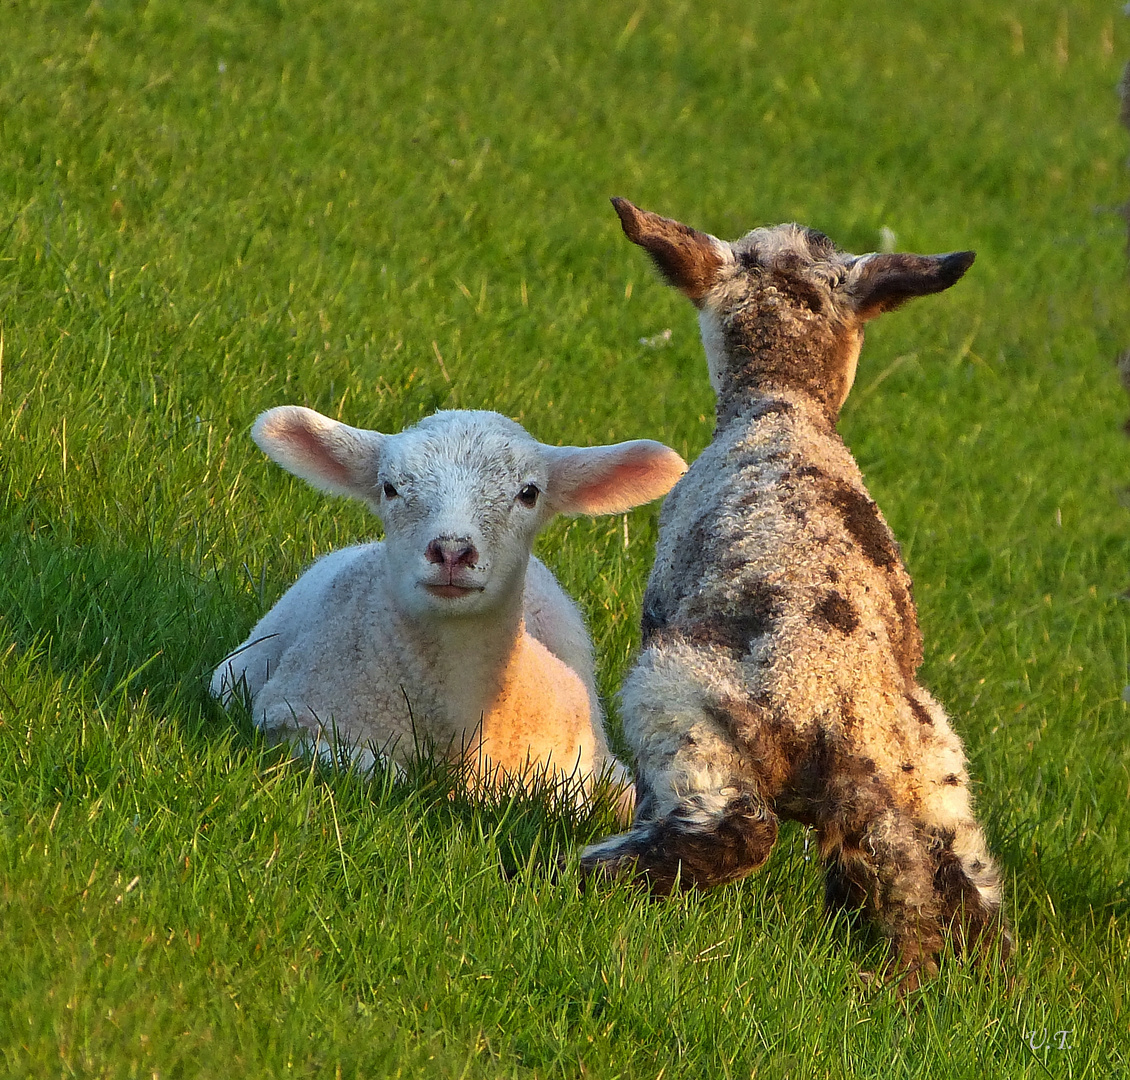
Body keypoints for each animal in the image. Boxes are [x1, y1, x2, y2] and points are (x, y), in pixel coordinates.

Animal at [213, 404, 687, 808]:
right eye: (389, 488)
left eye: (529, 493)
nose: (452, 551)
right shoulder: (291, 717)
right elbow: (386, 774)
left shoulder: (574, 760)